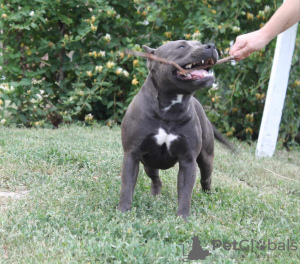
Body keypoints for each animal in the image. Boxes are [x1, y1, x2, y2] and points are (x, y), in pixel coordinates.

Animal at [119, 39, 220, 219]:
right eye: (182, 46)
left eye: (199, 43)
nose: (211, 46)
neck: (170, 109)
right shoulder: (132, 154)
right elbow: (127, 186)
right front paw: (123, 211)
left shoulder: (188, 160)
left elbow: (185, 193)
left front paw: (183, 218)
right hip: (148, 164)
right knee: (156, 179)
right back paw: (155, 196)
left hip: (206, 158)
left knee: (206, 178)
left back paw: (208, 197)